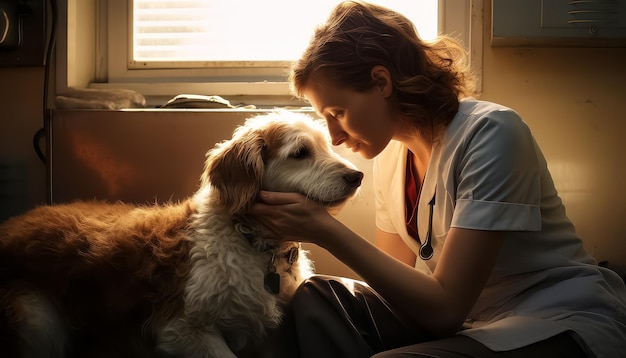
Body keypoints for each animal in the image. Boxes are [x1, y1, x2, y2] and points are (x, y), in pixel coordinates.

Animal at [0, 110, 364, 356]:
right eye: (300, 153)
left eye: (327, 146)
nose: (357, 176)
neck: (251, 244)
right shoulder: (183, 329)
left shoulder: (270, 338)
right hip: (39, 323)